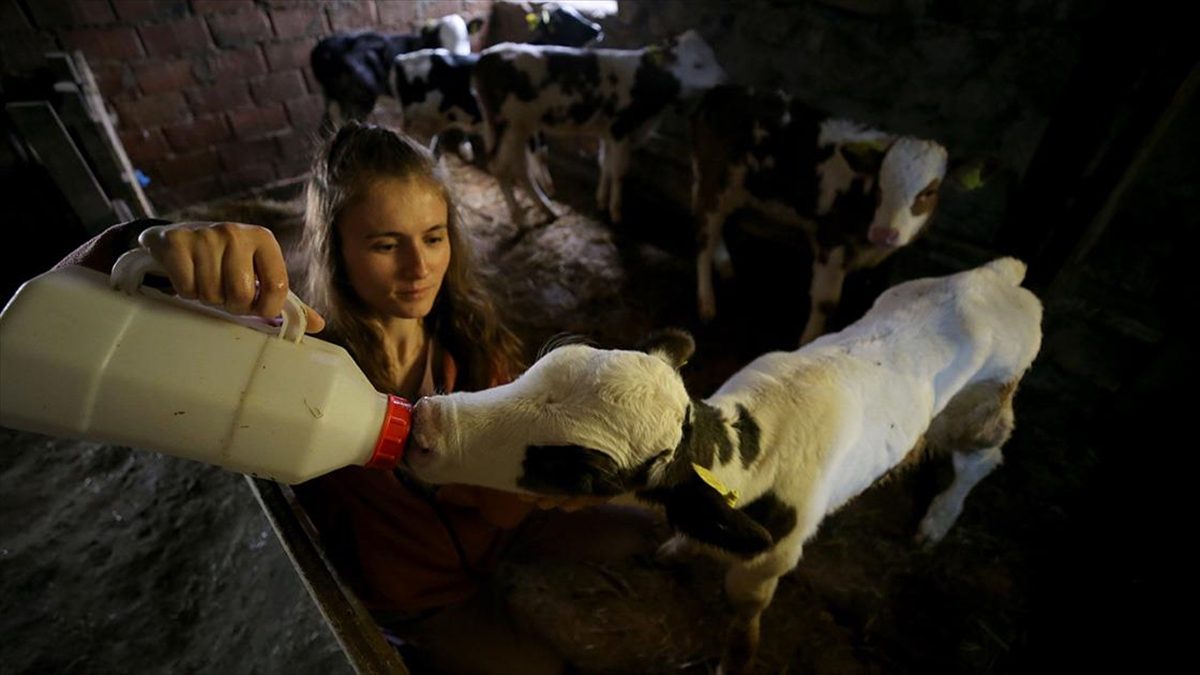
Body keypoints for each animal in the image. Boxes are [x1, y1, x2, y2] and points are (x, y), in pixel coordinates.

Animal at [405, 257, 1041, 672]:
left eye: (582, 474)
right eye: (546, 362)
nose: (427, 426)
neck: (753, 449)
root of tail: (996, 276)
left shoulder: (768, 562)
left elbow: (744, 616)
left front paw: (735, 659)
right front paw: (677, 547)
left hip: (983, 403)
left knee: (983, 457)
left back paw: (937, 520)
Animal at [472, 30, 724, 224]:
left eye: (714, 55)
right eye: (697, 64)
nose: (724, 81)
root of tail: (490, 54)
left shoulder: (609, 132)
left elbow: (606, 165)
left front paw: (602, 201)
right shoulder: (622, 129)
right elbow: (620, 171)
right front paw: (616, 212)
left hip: (511, 128)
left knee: (518, 167)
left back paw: (543, 207)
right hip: (509, 126)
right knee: (502, 167)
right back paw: (523, 215)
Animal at [696, 84, 993, 341]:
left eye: (928, 192)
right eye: (881, 182)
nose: (885, 233)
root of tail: (721, 91)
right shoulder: (830, 239)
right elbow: (826, 302)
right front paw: (807, 343)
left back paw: (725, 265)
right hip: (714, 183)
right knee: (704, 238)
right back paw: (707, 303)